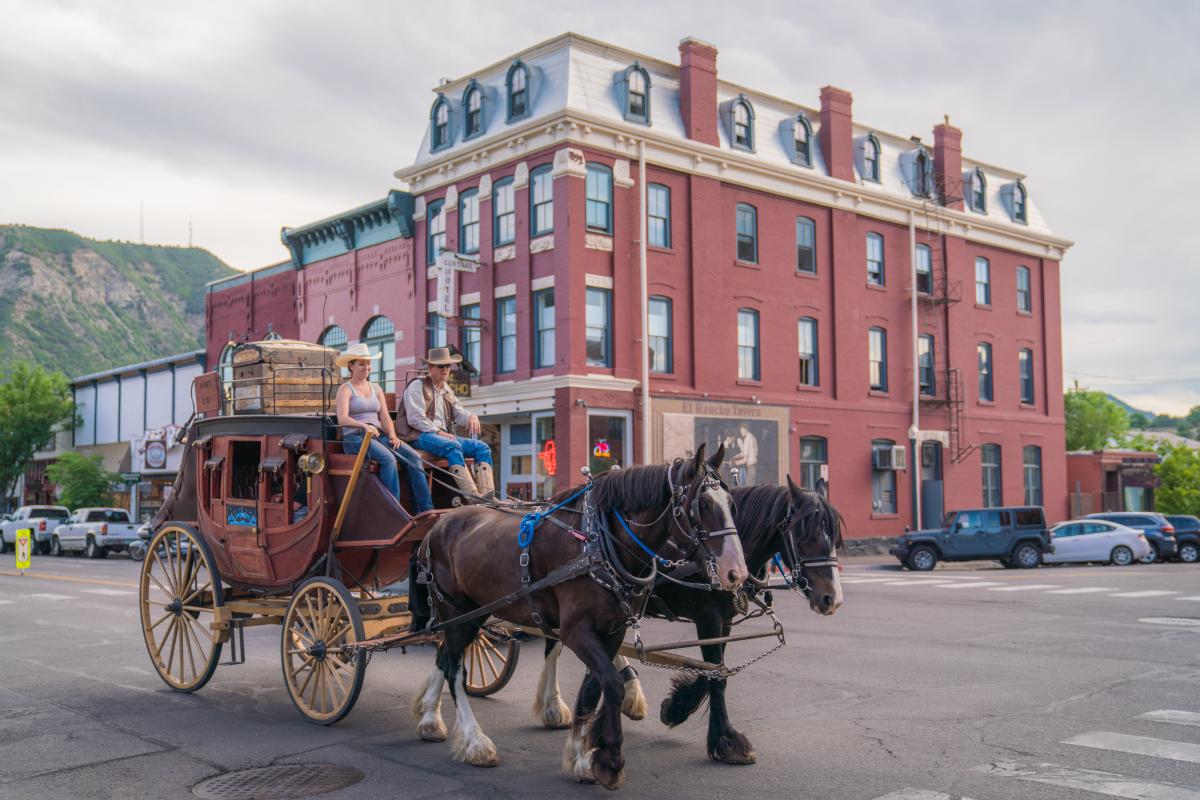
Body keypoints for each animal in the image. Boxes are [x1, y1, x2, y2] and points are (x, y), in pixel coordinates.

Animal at [412, 448, 748, 791]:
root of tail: (440, 523)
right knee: (455, 671)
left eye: (731, 504)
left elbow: (592, 689)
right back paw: (475, 741)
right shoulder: (576, 631)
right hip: (455, 612)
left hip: (474, 614)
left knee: (444, 657)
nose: (736, 573)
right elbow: (611, 684)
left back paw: (430, 720)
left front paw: (581, 759)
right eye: (702, 505)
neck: (598, 543)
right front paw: (609, 760)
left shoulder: (612, 631)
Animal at [535, 474, 844, 762]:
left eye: (835, 538)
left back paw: (630, 692)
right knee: (553, 645)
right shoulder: (708, 616)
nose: (832, 599)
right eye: (803, 535)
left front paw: (677, 708)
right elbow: (716, 674)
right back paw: (553, 706)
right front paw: (724, 739)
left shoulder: (724, 620)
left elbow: (716, 668)